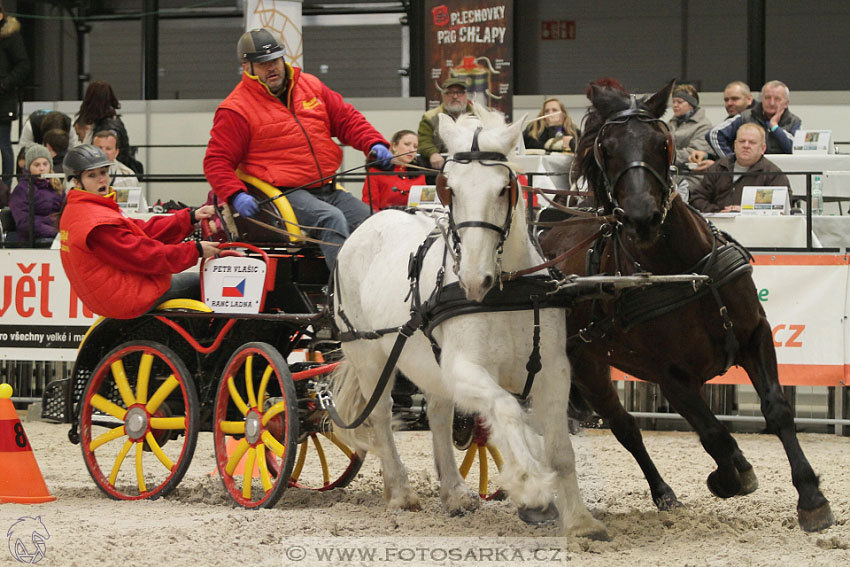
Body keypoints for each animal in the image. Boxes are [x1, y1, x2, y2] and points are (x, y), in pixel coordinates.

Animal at [328, 107, 608, 540]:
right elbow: (506, 408)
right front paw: (529, 483)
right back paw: (400, 492)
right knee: (381, 414)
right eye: (451, 190)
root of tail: (368, 225)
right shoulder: (465, 369)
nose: (475, 280)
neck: (506, 291)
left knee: (439, 412)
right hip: (368, 354)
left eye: (503, 188)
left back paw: (455, 494)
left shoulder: (553, 371)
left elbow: (561, 450)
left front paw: (580, 521)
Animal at [540, 82, 832, 536]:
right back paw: (661, 491)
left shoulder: (755, 336)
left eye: (662, 142)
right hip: (586, 366)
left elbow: (778, 411)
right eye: (606, 147)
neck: (686, 271)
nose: (641, 217)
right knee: (625, 427)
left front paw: (811, 497)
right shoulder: (670, 376)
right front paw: (731, 476)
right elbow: (714, 435)